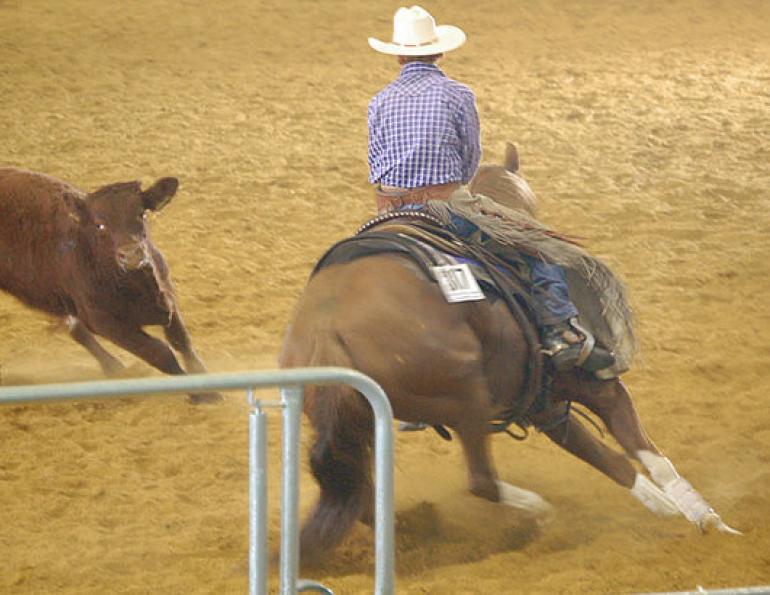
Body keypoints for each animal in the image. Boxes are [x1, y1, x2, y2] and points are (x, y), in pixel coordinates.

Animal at [279, 145, 738, 563]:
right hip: (465, 398)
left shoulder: (544, 404)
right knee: (481, 481)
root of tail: (326, 331)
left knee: (364, 497)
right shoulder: (595, 386)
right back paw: (539, 512)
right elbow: (648, 454)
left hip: (363, 421)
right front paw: (709, 521)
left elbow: (607, 457)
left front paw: (666, 507)